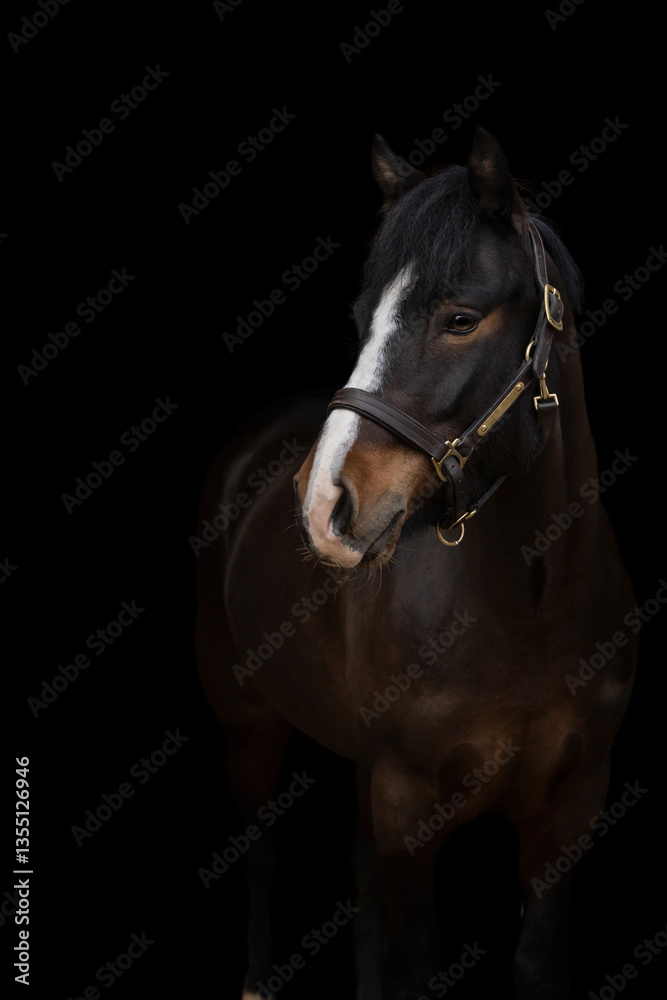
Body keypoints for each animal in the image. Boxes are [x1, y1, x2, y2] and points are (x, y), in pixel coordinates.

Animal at [194, 127, 637, 999]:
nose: (320, 504)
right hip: (249, 727)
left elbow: (532, 962)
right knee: (261, 856)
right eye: (363, 319)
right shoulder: (408, 805)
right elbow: (412, 963)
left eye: (459, 317)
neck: (532, 602)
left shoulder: (572, 804)